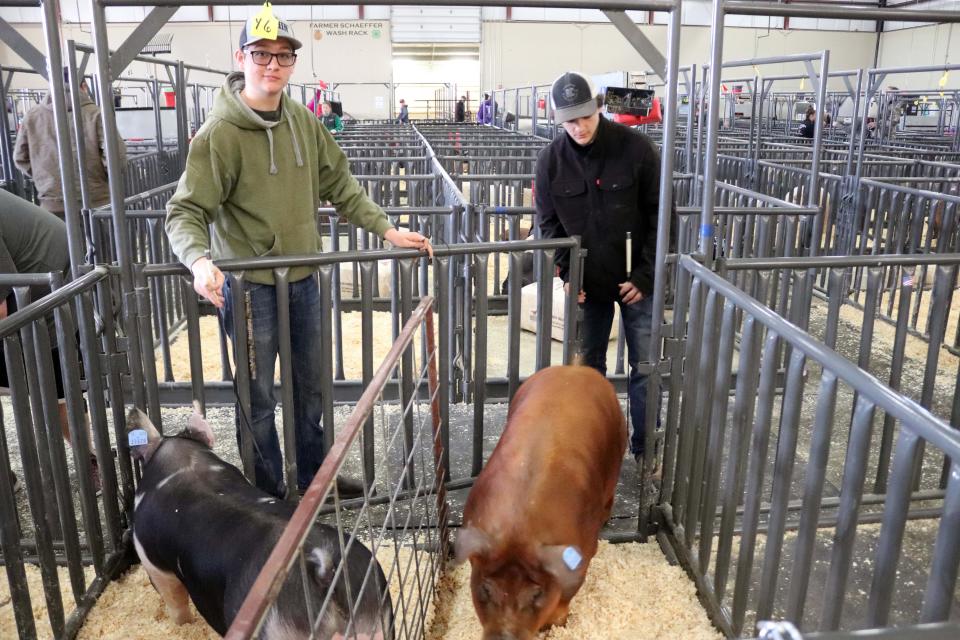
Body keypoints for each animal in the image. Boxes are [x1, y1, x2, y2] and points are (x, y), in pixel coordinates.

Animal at [126, 410, 390, 640]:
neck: (183, 463)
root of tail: (323, 568)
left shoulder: (153, 562)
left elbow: (174, 598)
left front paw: (183, 625)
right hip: (374, 614)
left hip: (278, 629)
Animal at [454, 364, 628, 640]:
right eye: (486, 589)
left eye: (536, 593)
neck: (518, 530)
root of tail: (575, 367)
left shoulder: (583, 552)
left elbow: (568, 593)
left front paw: (555, 625)